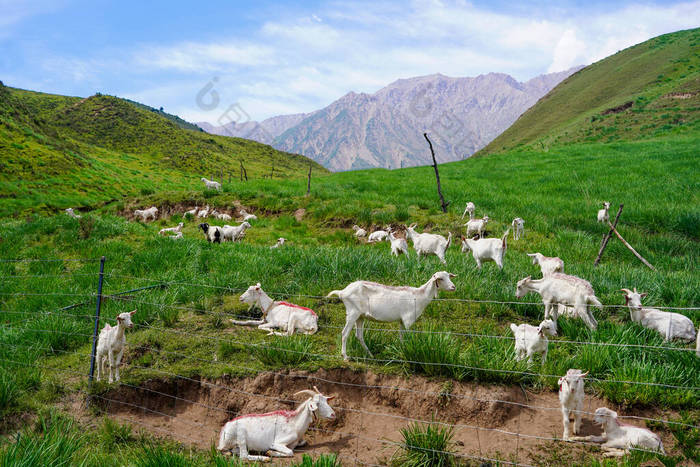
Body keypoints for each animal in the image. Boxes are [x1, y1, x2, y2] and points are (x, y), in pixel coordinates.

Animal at [326, 270, 454, 362]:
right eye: (440, 278)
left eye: (449, 276)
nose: (453, 287)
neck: (419, 296)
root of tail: (342, 292)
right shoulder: (408, 320)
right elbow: (409, 337)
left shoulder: (402, 321)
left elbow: (402, 338)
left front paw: (403, 351)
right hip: (352, 312)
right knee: (344, 333)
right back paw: (345, 356)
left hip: (360, 316)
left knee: (359, 336)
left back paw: (370, 355)